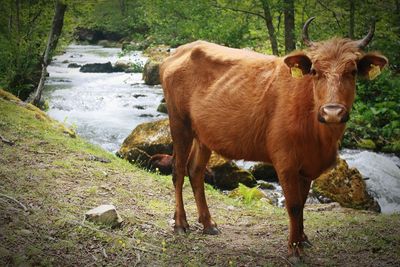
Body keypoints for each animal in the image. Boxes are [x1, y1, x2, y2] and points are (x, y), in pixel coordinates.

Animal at [159, 17, 388, 260]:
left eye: (352, 71)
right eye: (315, 71)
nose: (332, 112)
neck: (319, 138)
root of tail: (181, 50)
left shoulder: (307, 166)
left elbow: (303, 203)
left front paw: (303, 239)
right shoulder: (285, 161)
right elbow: (294, 205)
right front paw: (294, 248)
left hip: (203, 135)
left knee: (195, 171)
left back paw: (208, 223)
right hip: (179, 123)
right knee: (178, 170)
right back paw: (180, 223)